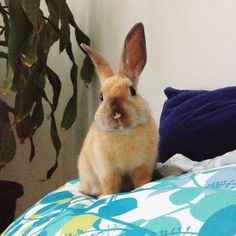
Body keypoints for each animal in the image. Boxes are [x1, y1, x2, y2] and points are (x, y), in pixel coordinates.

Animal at [78, 22, 159, 196]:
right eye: (101, 96)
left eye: (132, 91)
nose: (116, 114)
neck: (124, 133)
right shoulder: (109, 172)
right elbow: (111, 187)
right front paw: (108, 196)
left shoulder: (142, 167)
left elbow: (142, 182)